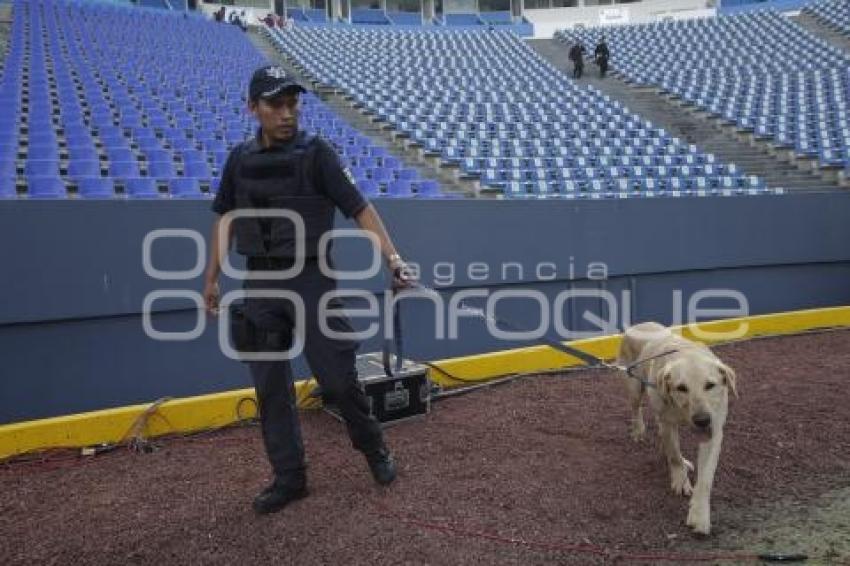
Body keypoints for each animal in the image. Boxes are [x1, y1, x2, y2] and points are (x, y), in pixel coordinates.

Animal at [616, 324, 736, 536]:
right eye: (681, 388)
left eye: (710, 385)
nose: (702, 420)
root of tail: (637, 325)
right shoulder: (669, 423)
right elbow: (674, 455)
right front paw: (680, 479)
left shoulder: (714, 430)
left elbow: (705, 479)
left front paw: (699, 515)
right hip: (634, 385)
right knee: (636, 409)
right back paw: (638, 430)